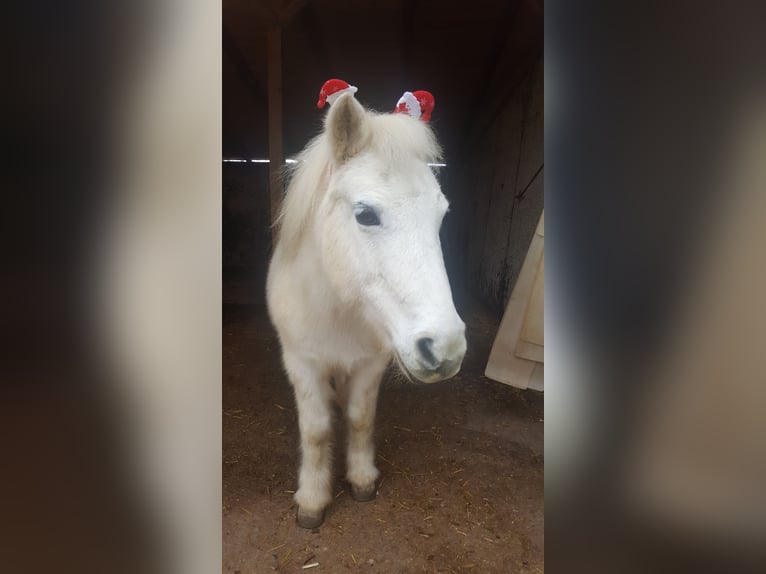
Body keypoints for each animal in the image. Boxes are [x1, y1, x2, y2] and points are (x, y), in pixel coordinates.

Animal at [264, 91, 468, 532]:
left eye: (441, 215)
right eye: (365, 214)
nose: (445, 348)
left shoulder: (371, 364)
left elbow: (359, 418)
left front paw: (360, 479)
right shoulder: (302, 363)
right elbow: (317, 430)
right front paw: (312, 501)